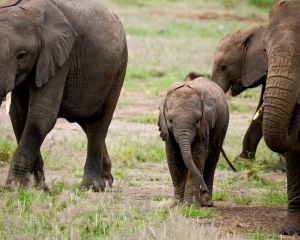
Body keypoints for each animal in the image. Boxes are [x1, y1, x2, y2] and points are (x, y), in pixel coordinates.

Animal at [0, 0, 127, 191]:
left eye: (20, 56)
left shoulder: (60, 59)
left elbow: (41, 116)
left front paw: (14, 187)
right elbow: (19, 117)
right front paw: (38, 187)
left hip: (118, 70)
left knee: (99, 123)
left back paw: (92, 187)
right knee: (86, 122)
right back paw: (106, 180)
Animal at [158, 78, 229, 207]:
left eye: (197, 121)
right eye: (170, 120)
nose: (204, 188)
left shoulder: (204, 125)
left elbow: (197, 158)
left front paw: (189, 205)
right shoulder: (167, 129)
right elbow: (173, 158)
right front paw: (177, 204)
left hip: (223, 125)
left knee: (211, 161)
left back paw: (206, 203)